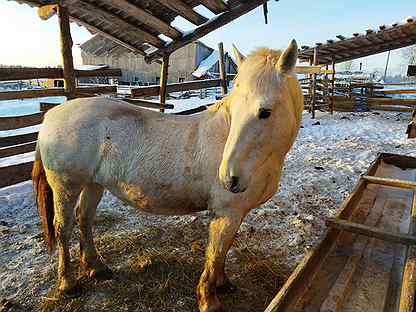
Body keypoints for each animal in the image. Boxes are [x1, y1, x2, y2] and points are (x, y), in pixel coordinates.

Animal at [32, 40, 304, 312]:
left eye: (265, 112)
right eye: (234, 109)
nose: (229, 179)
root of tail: (50, 116)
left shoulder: (236, 215)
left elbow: (223, 251)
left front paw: (223, 283)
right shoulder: (226, 214)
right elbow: (215, 253)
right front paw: (209, 299)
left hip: (93, 185)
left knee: (85, 220)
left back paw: (96, 268)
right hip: (66, 188)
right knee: (63, 228)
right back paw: (68, 284)